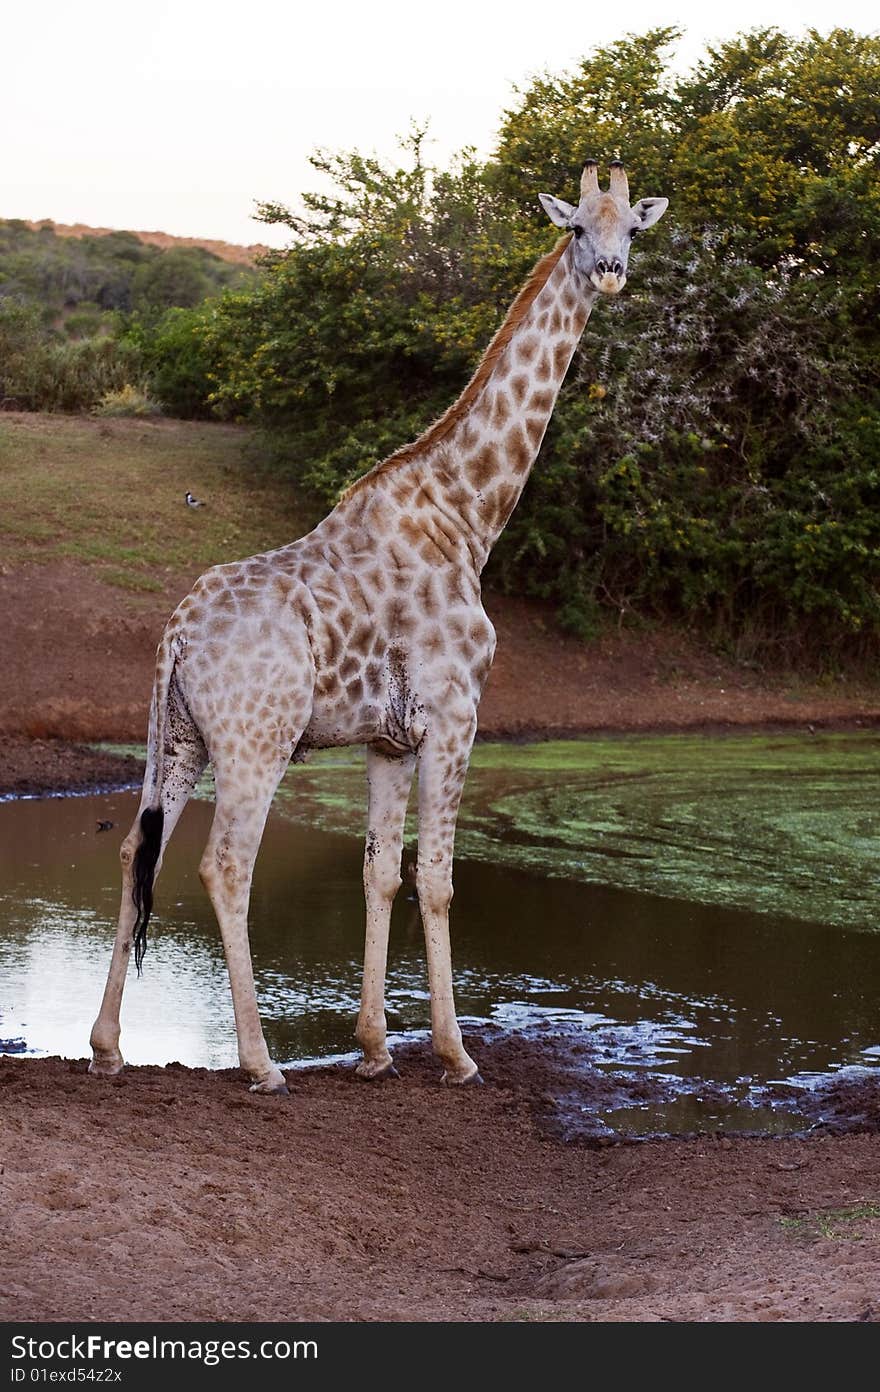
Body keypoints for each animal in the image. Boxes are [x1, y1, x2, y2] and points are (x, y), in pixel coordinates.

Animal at [87, 160, 665, 1085]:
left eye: (632, 229)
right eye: (578, 227)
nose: (610, 274)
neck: (468, 516)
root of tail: (177, 633)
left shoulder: (389, 738)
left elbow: (379, 875)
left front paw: (373, 1049)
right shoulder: (457, 717)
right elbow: (437, 878)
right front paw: (456, 1054)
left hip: (173, 738)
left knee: (138, 850)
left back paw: (107, 1046)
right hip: (256, 742)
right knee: (225, 865)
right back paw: (261, 1064)